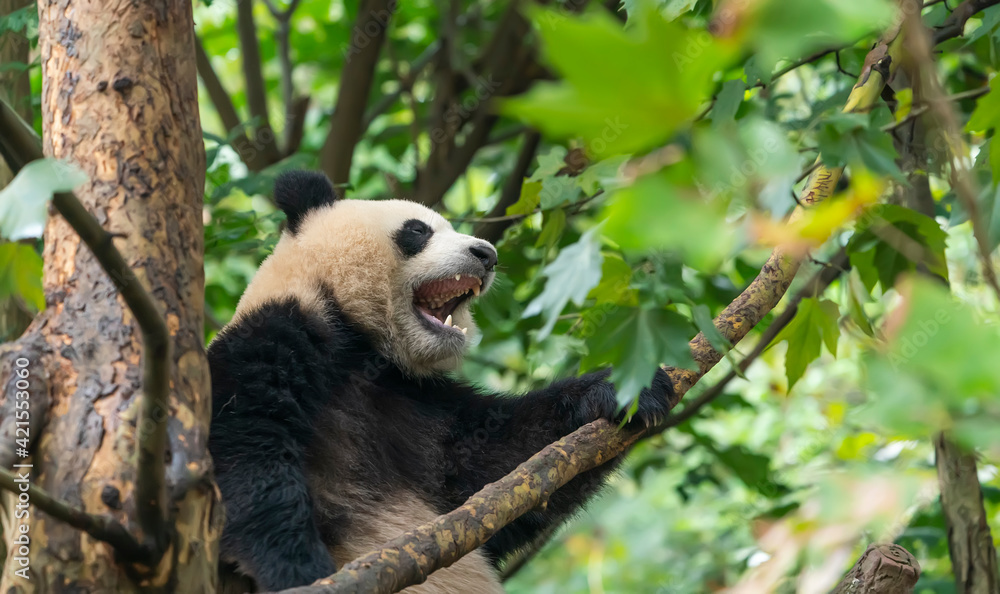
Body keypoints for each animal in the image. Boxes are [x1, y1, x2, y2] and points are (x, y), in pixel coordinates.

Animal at [207, 170, 676, 592]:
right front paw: (298, 570)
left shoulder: (412, 400)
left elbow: (497, 470)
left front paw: (622, 391)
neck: (359, 344)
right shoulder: (271, 339)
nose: (487, 253)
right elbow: (243, 449)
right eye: (418, 230)